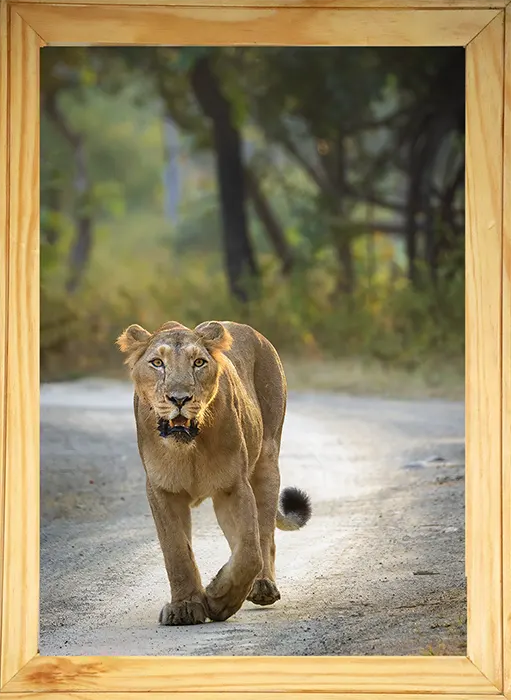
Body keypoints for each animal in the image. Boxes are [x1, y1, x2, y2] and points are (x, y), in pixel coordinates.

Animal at [117, 319, 311, 625]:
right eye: (157, 363)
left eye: (199, 362)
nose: (180, 399)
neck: (189, 448)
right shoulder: (161, 490)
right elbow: (176, 551)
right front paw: (185, 606)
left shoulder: (234, 486)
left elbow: (249, 553)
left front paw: (219, 599)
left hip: (267, 461)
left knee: (264, 534)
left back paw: (263, 586)